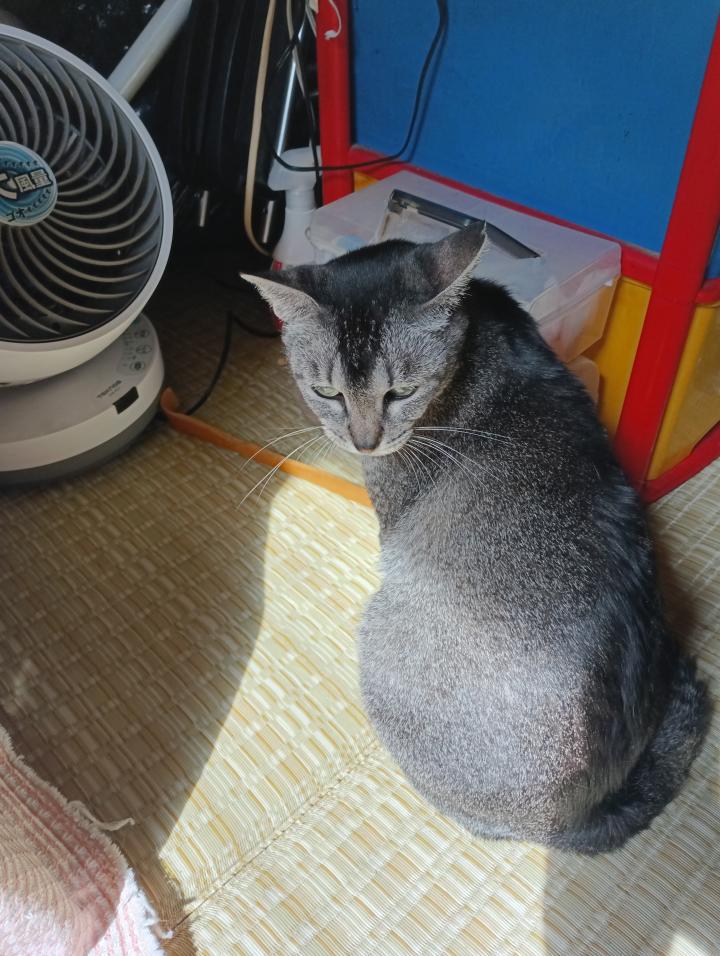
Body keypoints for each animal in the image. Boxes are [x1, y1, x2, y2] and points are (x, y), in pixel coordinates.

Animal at [242, 221, 710, 854]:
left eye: (400, 392)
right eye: (328, 392)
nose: (364, 443)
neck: (476, 336)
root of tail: (583, 816)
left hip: (381, 635)